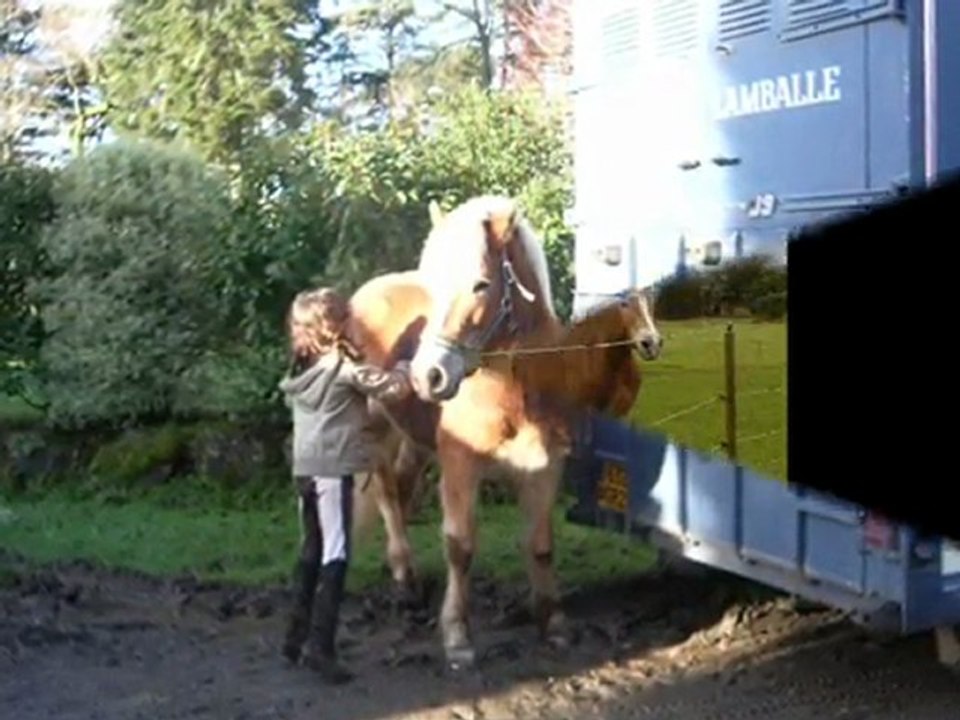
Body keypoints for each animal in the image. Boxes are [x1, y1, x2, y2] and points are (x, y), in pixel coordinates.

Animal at [346, 195, 663, 669]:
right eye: (433, 283)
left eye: (480, 285)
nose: (428, 376)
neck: (511, 390)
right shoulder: (460, 466)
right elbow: (460, 546)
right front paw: (457, 636)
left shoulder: (545, 467)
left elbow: (541, 544)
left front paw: (553, 624)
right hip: (378, 425)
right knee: (386, 491)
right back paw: (404, 575)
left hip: (415, 440)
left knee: (401, 488)